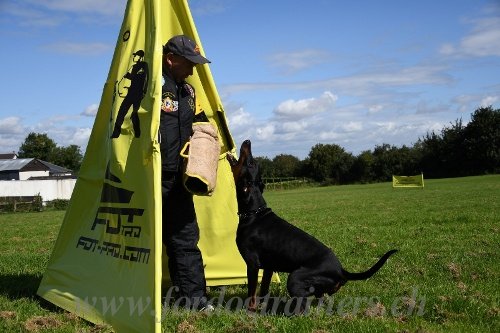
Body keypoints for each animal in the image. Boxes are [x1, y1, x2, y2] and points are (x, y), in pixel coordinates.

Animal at [228, 139, 398, 310]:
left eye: (250, 162)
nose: (248, 141)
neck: (254, 213)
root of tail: (341, 271)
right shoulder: (269, 267)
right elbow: (263, 290)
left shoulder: (253, 264)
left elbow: (252, 293)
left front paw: (250, 310)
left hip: (295, 278)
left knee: (304, 303)